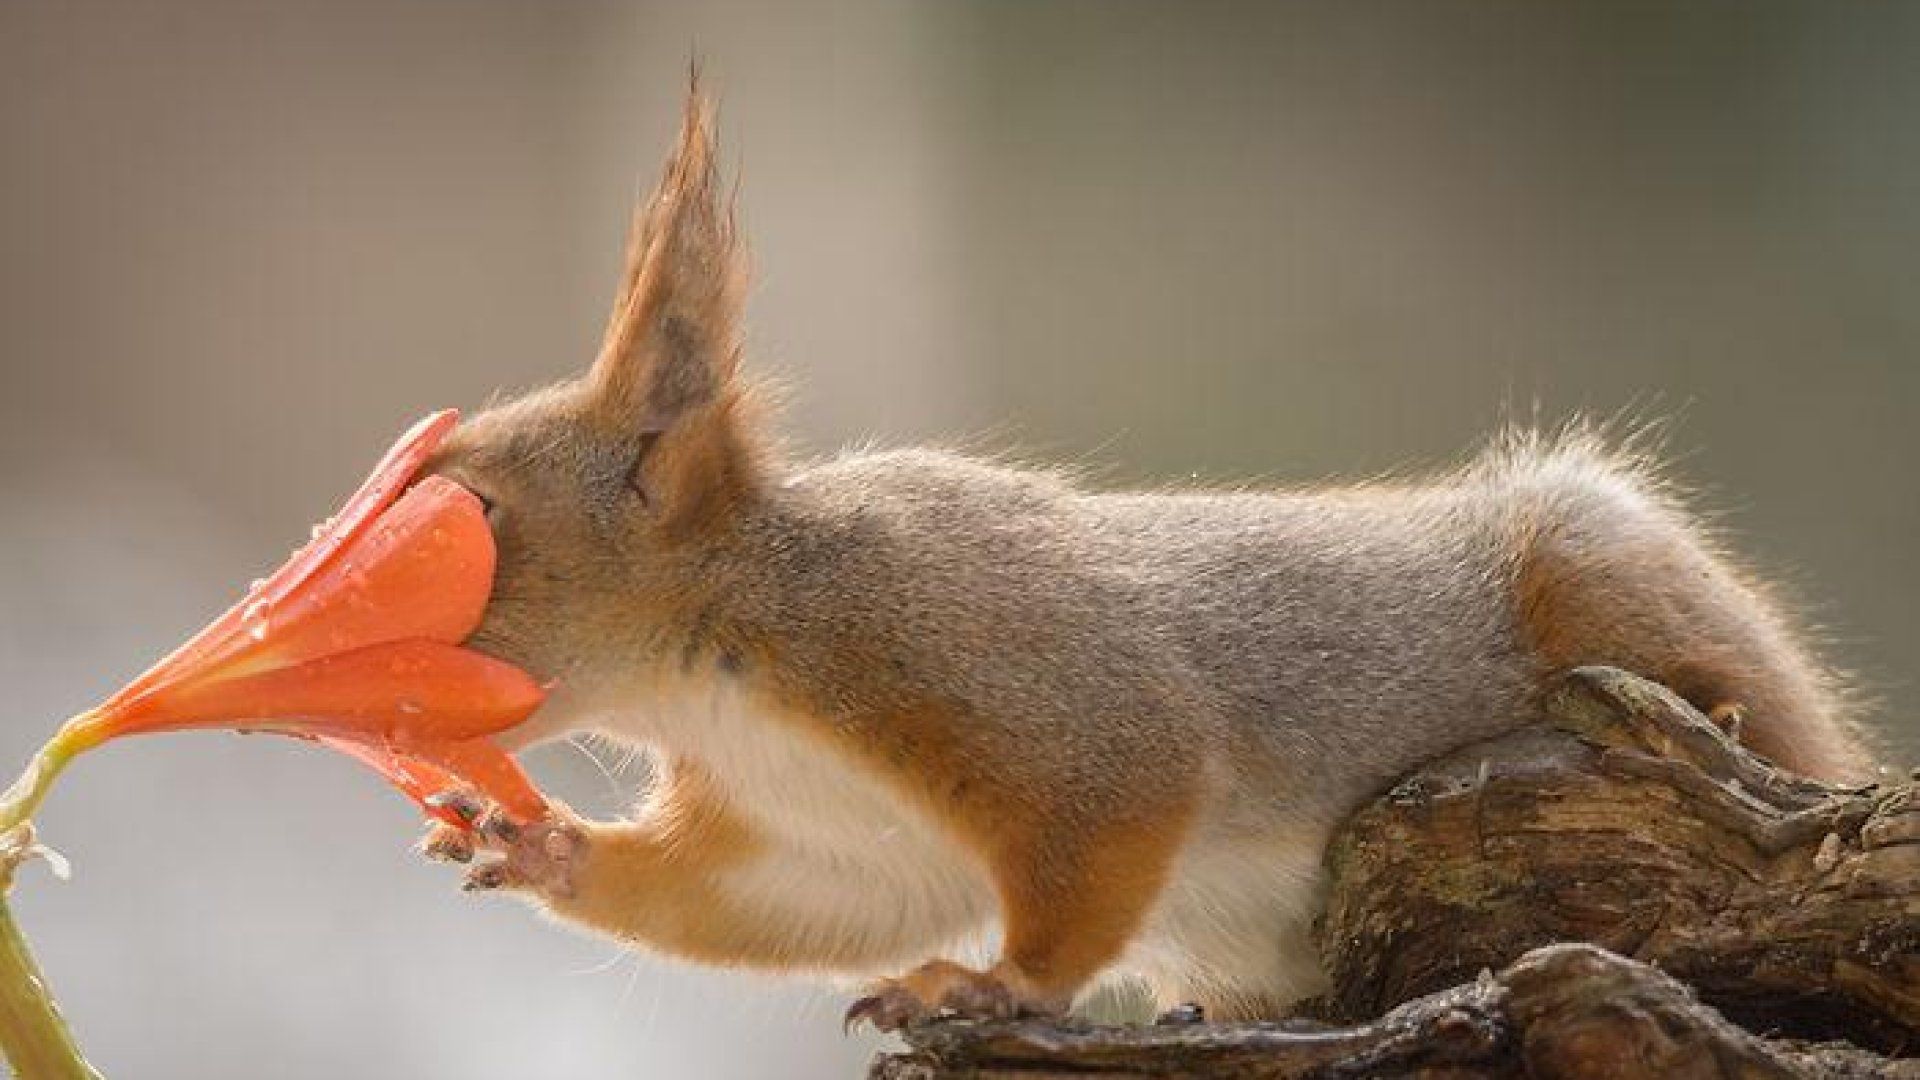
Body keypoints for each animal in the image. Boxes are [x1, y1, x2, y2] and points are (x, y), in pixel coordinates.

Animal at [417, 92, 1878, 1030]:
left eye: (474, 513)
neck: (718, 657)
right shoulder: (821, 837)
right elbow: (771, 906)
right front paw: (536, 846)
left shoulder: (981, 651)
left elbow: (1121, 803)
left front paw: (1000, 988)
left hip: (1594, 573)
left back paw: (1733, 714)